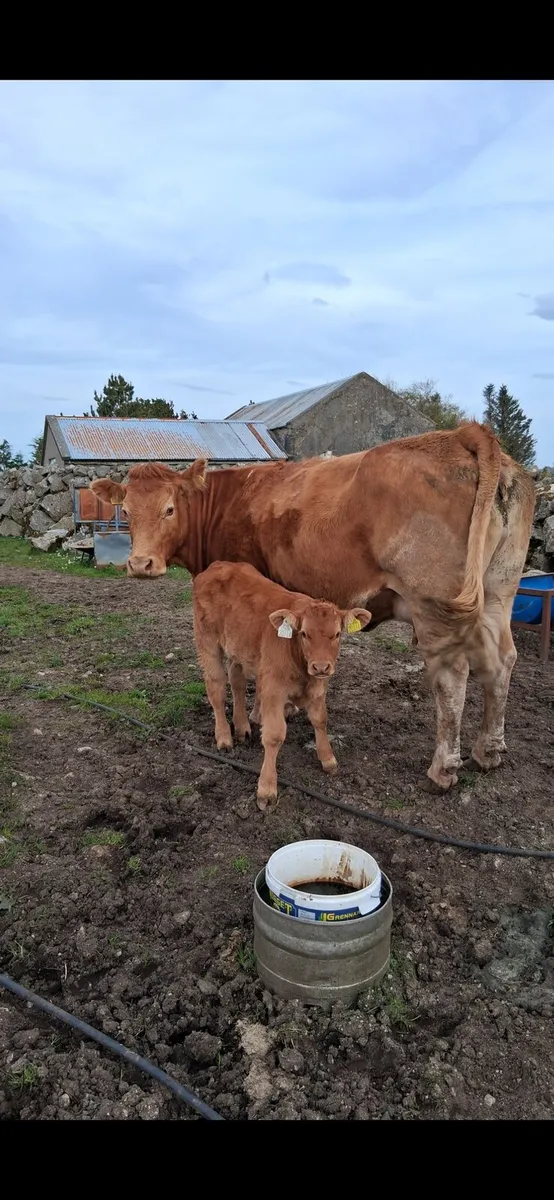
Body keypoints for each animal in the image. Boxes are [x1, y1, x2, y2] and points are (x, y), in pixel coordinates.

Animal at [192, 560, 372, 808]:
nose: (321, 667)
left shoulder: (318, 687)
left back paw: (242, 727)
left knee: (237, 683)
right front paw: (266, 789)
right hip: (207, 642)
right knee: (216, 688)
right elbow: (275, 735)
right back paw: (224, 737)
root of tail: (218, 565)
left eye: (337, 634)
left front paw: (328, 759)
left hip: (238, 649)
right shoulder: (273, 689)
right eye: (304, 634)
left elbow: (320, 720)